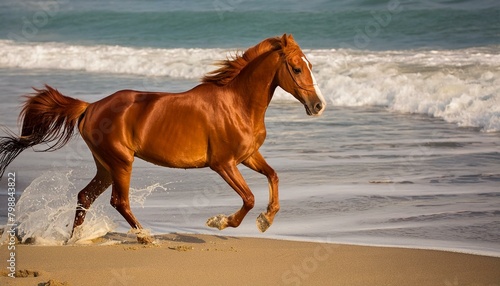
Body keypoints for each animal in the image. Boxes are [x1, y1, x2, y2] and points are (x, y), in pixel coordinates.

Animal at [0, 34, 326, 242]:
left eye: (311, 66)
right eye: (297, 68)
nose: (318, 106)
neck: (237, 104)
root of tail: (89, 107)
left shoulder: (248, 156)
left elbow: (273, 177)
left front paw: (266, 220)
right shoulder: (223, 164)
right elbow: (248, 198)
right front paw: (220, 222)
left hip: (105, 166)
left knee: (85, 197)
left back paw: (75, 239)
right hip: (121, 162)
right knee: (119, 201)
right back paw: (145, 237)